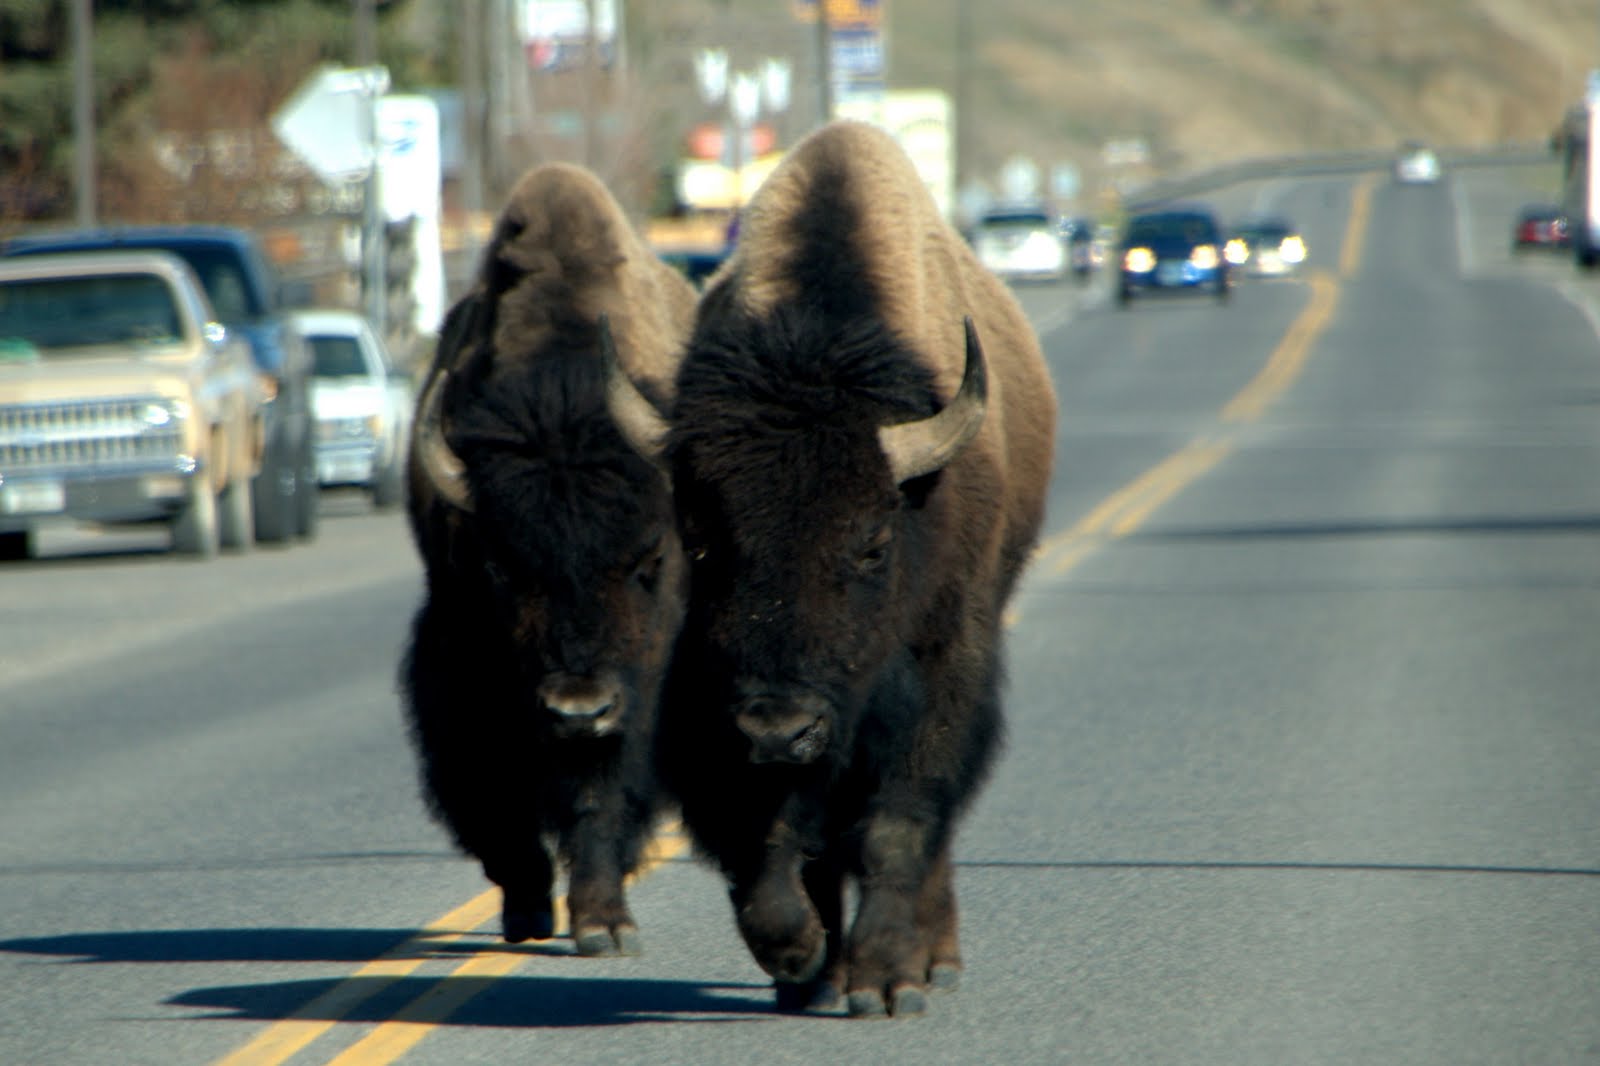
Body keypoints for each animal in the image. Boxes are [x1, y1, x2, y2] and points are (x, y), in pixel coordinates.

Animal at [401, 162, 697, 955]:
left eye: (648, 561)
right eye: (501, 568)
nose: (576, 706)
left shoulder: (633, 697)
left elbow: (599, 795)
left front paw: (603, 926)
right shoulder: (462, 674)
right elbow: (495, 794)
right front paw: (530, 910)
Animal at [608, 120, 1058, 1013]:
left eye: (872, 544)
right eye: (701, 540)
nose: (780, 727)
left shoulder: (940, 672)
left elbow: (897, 828)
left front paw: (886, 982)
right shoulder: (715, 699)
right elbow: (771, 837)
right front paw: (798, 957)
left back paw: (932, 962)